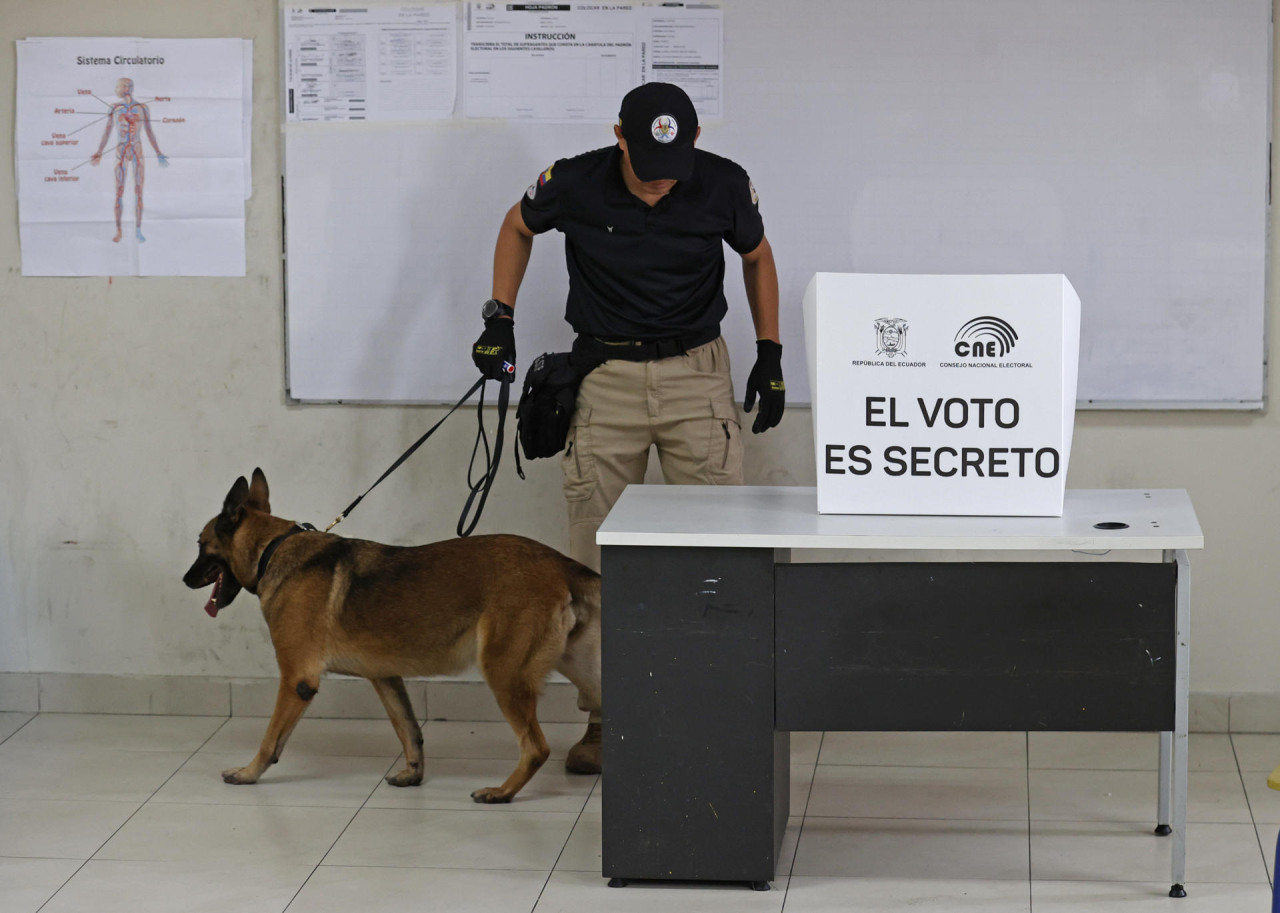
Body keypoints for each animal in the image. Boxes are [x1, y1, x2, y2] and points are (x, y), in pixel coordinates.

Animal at [183, 466, 601, 799]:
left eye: (201, 545)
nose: (185, 579)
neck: (274, 548)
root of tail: (558, 562)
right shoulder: (385, 678)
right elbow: (409, 730)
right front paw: (413, 774)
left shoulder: (297, 681)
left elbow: (270, 739)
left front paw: (248, 773)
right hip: (581, 673)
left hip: (505, 674)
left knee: (536, 748)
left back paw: (502, 792)